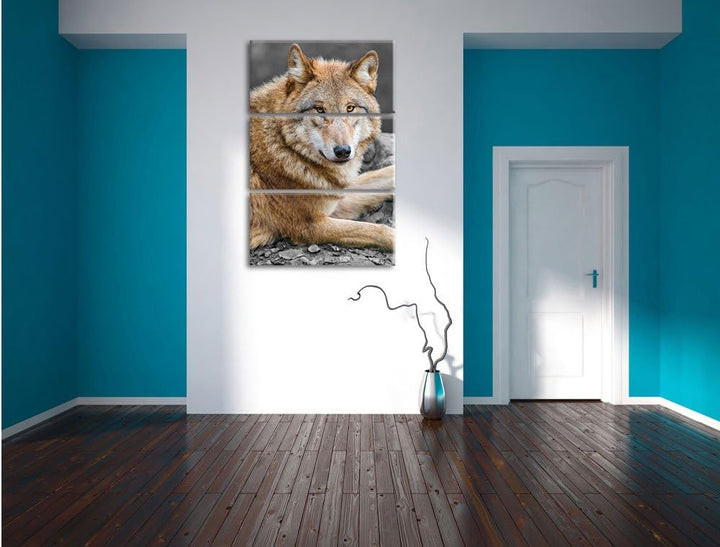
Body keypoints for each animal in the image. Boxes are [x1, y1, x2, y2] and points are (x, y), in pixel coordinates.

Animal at [249, 43, 395, 251]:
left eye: (350, 108)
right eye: (319, 109)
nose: (342, 151)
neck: (284, 146)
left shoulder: (334, 198)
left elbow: (381, 175)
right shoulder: (310, 226)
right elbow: (377, 229)